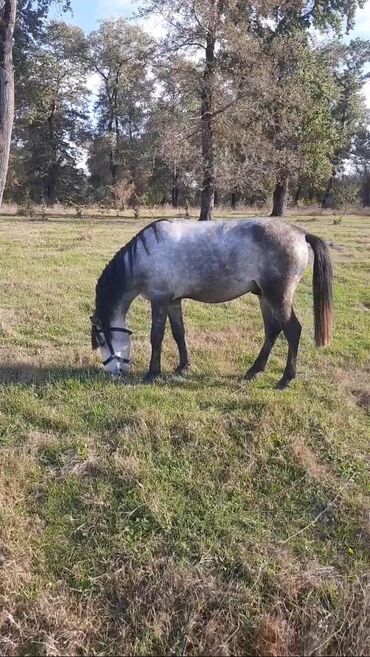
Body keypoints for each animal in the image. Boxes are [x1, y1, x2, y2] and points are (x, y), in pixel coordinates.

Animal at [91, 218, 334, 386]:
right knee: (272, 331)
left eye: (102, 340)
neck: (144, 255)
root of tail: (301, 234)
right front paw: (182, 367)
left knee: (292, 331)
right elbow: (179, 333)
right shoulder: (173, 302)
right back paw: (254, 370)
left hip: (278, 297)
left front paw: (152, 373)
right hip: (264, 297)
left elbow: (157, 337)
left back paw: (285, 379)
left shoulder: (159, 301)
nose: (114, 373)